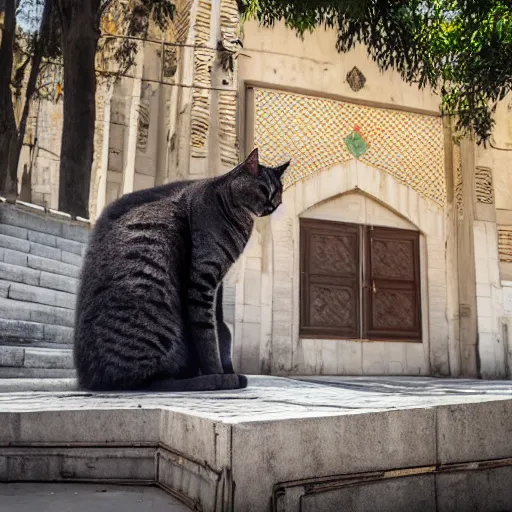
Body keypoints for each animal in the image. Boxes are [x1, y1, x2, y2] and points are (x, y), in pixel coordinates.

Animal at [72, 149, 290, 392]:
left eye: (279, 194)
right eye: (264, 189)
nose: (273, 205)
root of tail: (92, 381)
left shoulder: (218, 284)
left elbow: (219, 326)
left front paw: (225, 369)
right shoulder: (202, 279)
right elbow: (207, 333)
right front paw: (219, 373)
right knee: (152, 382)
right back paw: (206, 380)